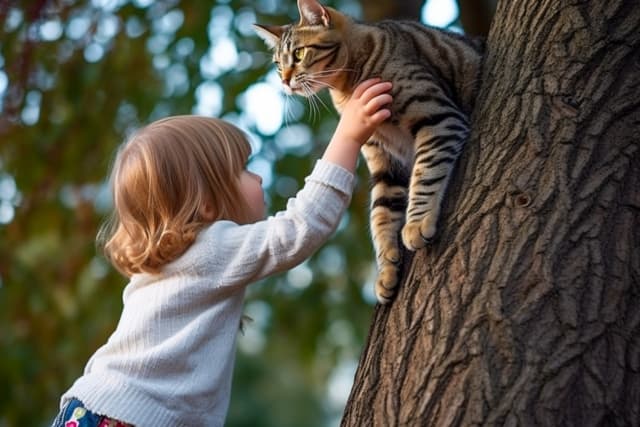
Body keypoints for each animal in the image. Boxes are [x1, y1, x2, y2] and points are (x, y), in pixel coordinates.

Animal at [252, 0, 482, 304]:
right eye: (278, 65)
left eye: (299, 54)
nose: (284, 82)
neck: (347, 87)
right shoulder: (386, 161)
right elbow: (381, 213)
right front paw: (386, 269)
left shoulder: (438, 118)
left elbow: (426, 173)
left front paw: (416, 222)